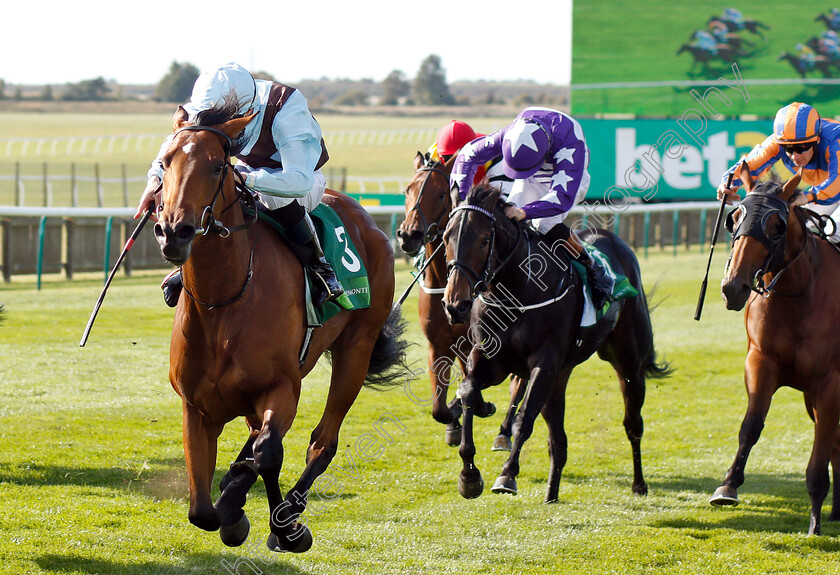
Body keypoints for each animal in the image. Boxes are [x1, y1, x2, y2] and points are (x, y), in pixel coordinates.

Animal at [156, 103, 412, 552]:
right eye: (165, 162)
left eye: (217, 165)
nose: (174, 230)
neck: (224, 302)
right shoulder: (196, 407)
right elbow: (201, 511)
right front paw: (232, 504)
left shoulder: (282, 387)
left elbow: (268, 453)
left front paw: (283, 527)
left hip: (356, 350)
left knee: (322, 442)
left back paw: (286, 505)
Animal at [398, 152, 520, 450]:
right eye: (408, 190)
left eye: (441, 193)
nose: (409, 235)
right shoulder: (439, 344)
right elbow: (439, 407)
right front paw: (454, 418)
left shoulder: (476, 345)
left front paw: (477, 406)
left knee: (518, 384)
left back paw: (504, 431)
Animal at [440, 187, 668, 502]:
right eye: (445, 238)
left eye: (485, 239)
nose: (455, 305)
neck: (517, 293)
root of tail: (612, 238)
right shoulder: (492, 361)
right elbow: (469, 393)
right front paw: (469, 475)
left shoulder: (544, 363)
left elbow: (524, 418)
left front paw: (506, 475)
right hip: (561, 375)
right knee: (557, 440)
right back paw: (551, 493)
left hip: (628, 361)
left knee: (633, 423)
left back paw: (639, 484)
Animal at [712, 165, 840, 536]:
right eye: (734, 218)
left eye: (775, 225)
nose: (732, 287)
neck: (800, 293)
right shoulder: (761, 362)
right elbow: (751, 425)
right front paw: (727, 486)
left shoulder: (830, 382)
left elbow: (820, 449)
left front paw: (814, 522)